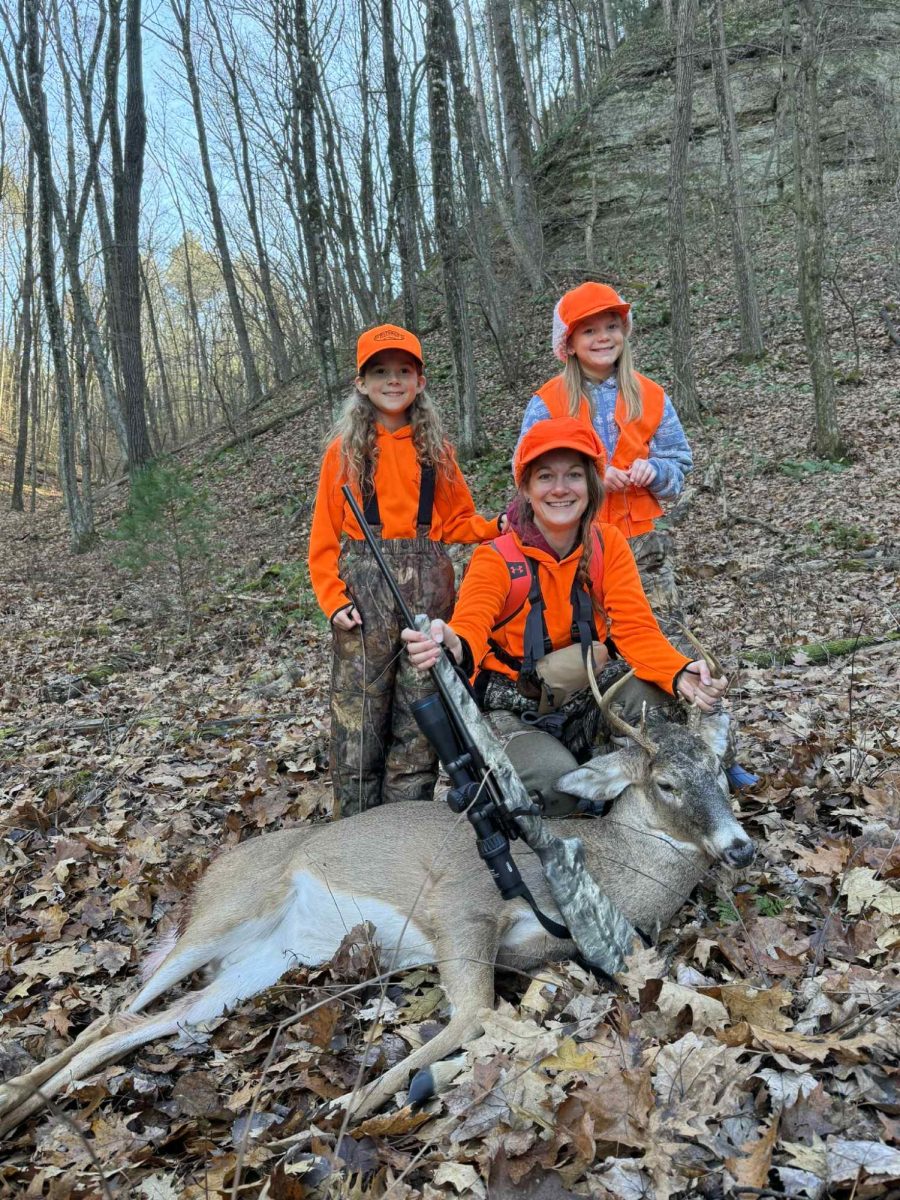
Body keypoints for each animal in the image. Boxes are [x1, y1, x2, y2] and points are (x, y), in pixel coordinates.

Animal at [0, 672, 753, 1138]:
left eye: (721, 771)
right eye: (665, 782)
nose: (740, 846)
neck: (596, 866)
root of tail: (209, 870)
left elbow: (497, 1022)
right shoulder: (461, 902)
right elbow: (476, 1013)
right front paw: (346, 1102)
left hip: (257, 966)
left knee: (138, 1024)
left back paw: (22, 1106)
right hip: (225, 914)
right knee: (114, 1012)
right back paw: (14, 1098)